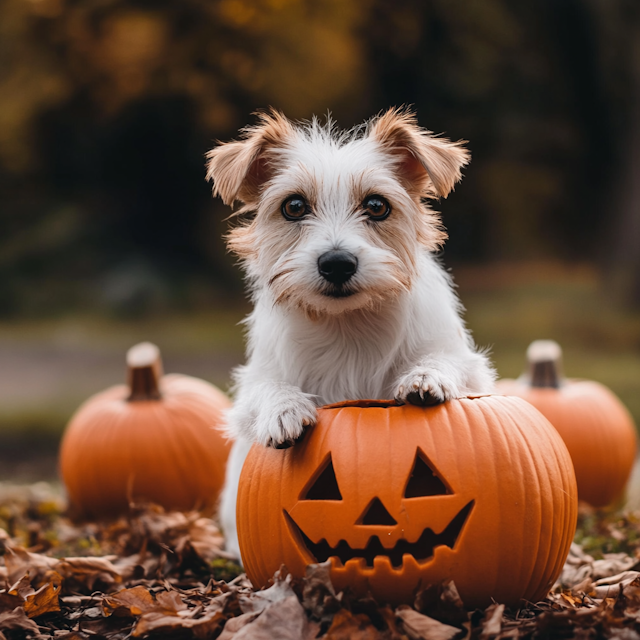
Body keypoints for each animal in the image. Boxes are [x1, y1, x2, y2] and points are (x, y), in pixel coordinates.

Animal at [205, 107, 496, 556]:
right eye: (293, 206)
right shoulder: (254, 382)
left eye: (376, 205)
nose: (337, 263)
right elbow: (268, 387)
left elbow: (445, 361)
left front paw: (424, 377)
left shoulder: (469, 366)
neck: (347, 323)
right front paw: (283, 410)